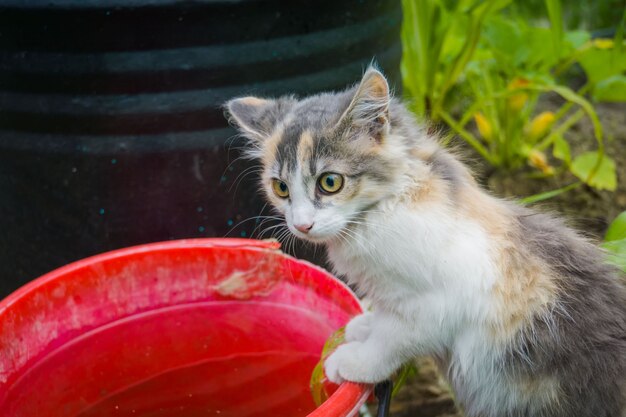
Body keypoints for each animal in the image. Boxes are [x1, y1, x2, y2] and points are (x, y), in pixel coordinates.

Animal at [225, 66, 624, 414]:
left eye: (330, 182)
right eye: (280, 188)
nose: (302, 225)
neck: (381, 210)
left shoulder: (441, 302)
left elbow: (395, 337)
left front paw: (357, 361)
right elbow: (385, 316)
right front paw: (363, 327)